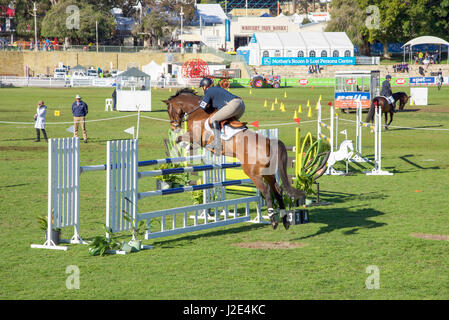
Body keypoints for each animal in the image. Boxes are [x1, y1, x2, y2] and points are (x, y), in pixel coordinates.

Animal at [161, 88, 304, 230]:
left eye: (168, 110)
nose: (174, 127)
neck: (197, 111)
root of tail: (269, 141)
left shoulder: (195, 136)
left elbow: (179, 139)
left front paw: (183, 146)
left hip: (253, 172)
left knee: (266, 190)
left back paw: (273, 221)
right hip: (267, 172)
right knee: (277, 190)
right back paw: (285, 220)